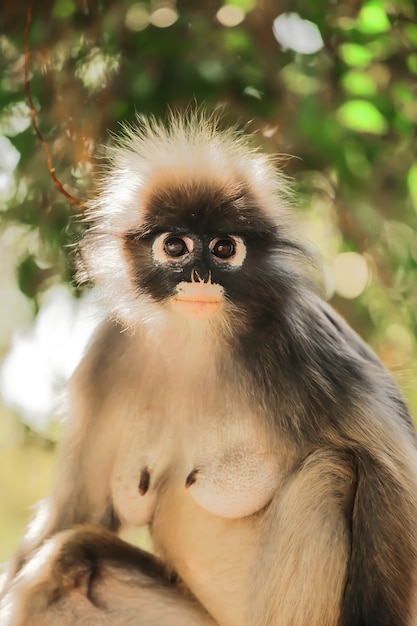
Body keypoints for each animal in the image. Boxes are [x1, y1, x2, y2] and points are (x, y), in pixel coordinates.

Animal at [0, 109, 416, 620]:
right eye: (176, 246)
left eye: (223, 248)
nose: (200, 276)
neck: (196, 343)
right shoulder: (106, 357)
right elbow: (72, 512)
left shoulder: (307, 345)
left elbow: (395, 476)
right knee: (66, 556)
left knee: (330, 472)